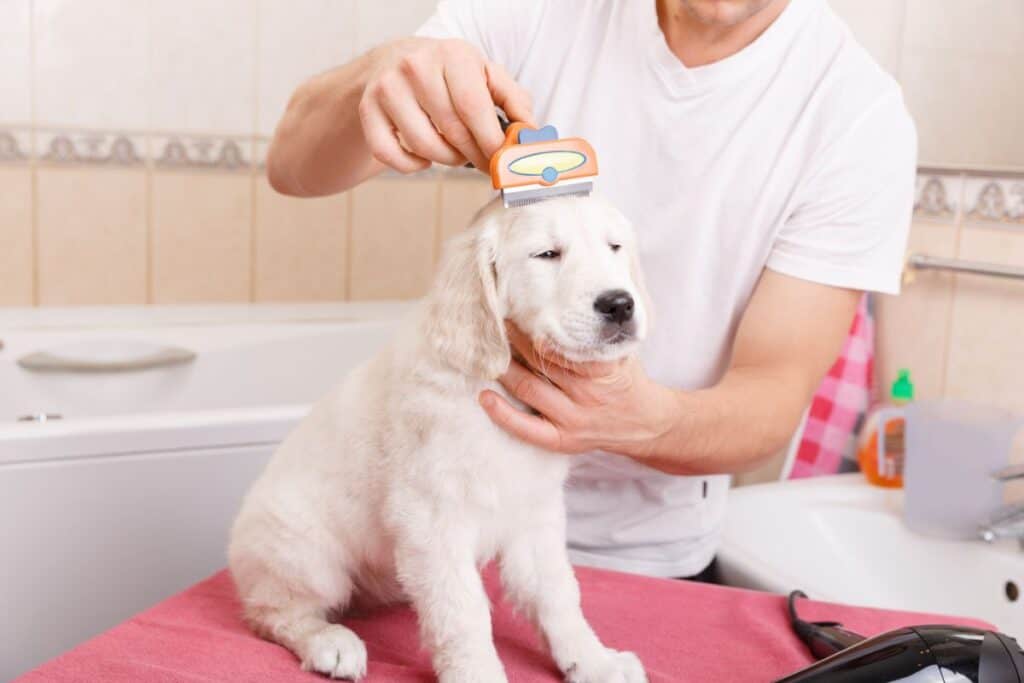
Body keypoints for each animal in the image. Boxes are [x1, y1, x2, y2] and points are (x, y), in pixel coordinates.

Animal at [229, 193, 651, 683]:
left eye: (614, 247)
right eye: (547, 254)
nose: (619, 304)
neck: (497, 390)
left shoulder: (534, 514)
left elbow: (558, 594)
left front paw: (595, 660)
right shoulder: (433, 520)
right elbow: (462, 612)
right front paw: (478, 674)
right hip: (305, 555)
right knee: (272, 612)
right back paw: (329, 643)